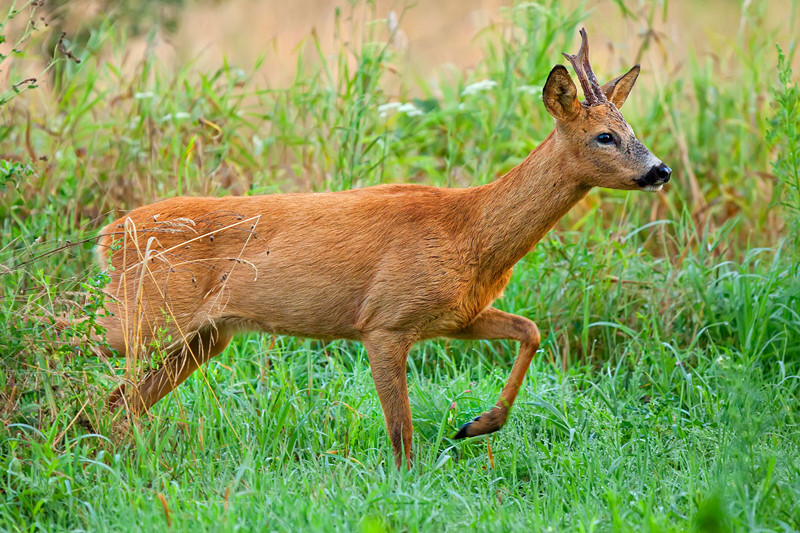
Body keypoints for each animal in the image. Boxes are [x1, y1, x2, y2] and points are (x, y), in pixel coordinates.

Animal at [73, 30, 668, 470]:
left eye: (632, 128)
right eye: (604, 137)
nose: (659, 170)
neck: (470, 231)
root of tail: (110, 235)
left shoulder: (454, 315)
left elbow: (531, 330)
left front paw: (476, 425)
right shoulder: (384, 321)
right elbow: (401, 436)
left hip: (201, 337)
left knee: (116, 402)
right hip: (146, 314)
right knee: (75, 341)